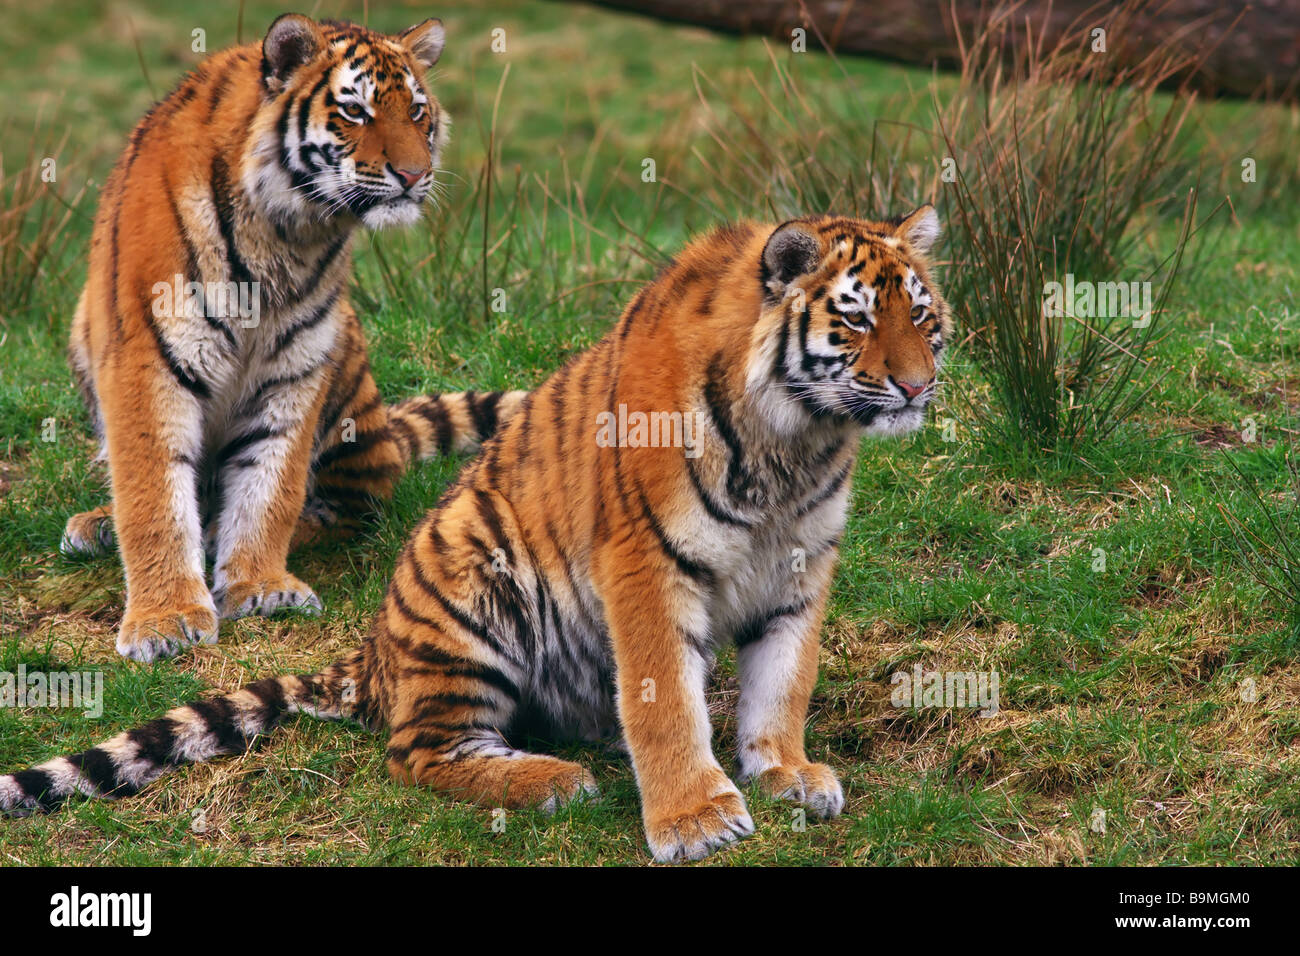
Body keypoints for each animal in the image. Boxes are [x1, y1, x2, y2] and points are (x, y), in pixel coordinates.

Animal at [5, 209, 951, 868]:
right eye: (856, 321)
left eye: (924, 319)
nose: (916, 386)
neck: (800, 442)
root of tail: (374, 650)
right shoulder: (646, 563)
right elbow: (665, 702)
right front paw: (695, 819)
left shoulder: (801, 566)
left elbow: (783, 682)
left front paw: (784, 771)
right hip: (474, 584)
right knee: (420, 751)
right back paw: (553, 779)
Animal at [55, 14, 522, 660]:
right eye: (355, 111)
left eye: (417, 112)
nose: (415, 176)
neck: (288, 235)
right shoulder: (145, 358)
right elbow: (152, 493)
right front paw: (165, 620)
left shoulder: (298, 361)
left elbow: (270, 484)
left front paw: (258, 585)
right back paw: (101, 523)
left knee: (355, 501)